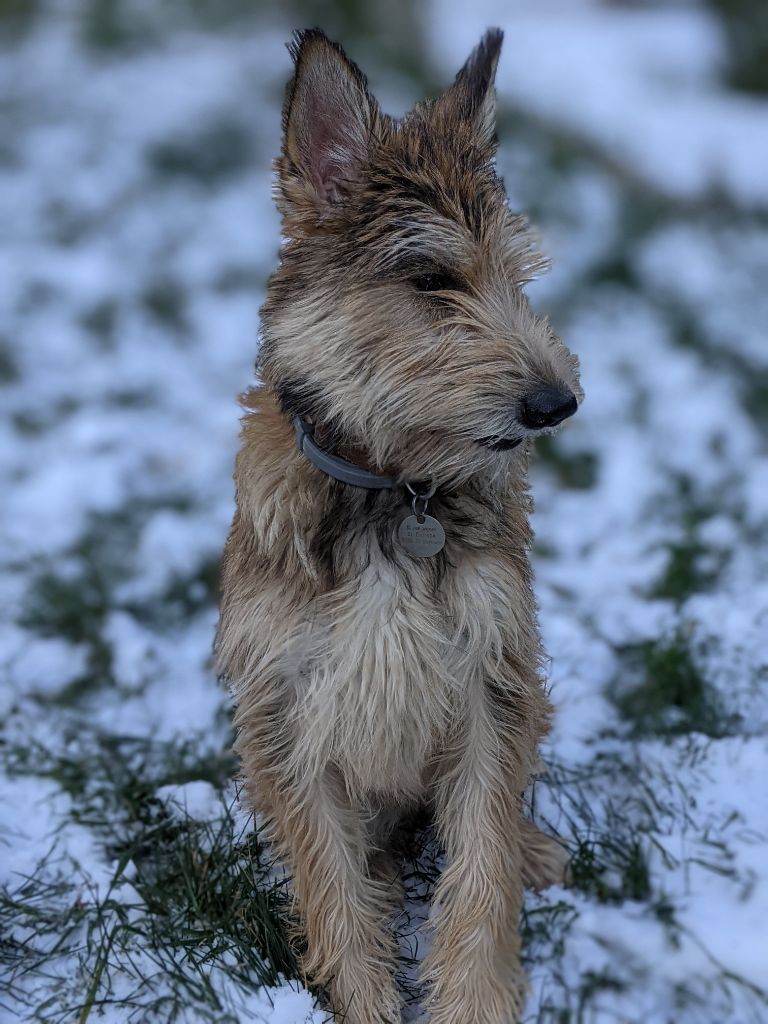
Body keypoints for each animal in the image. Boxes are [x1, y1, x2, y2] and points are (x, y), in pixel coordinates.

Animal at [217, 25, 581, 1024]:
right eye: (430, 278)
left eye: (516, 277)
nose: (557, 402)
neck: (395, 490)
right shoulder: (287, 706)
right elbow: (334, 886)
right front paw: (364, 999)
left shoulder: (493, 674)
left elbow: (483, 864)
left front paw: (477, 998)